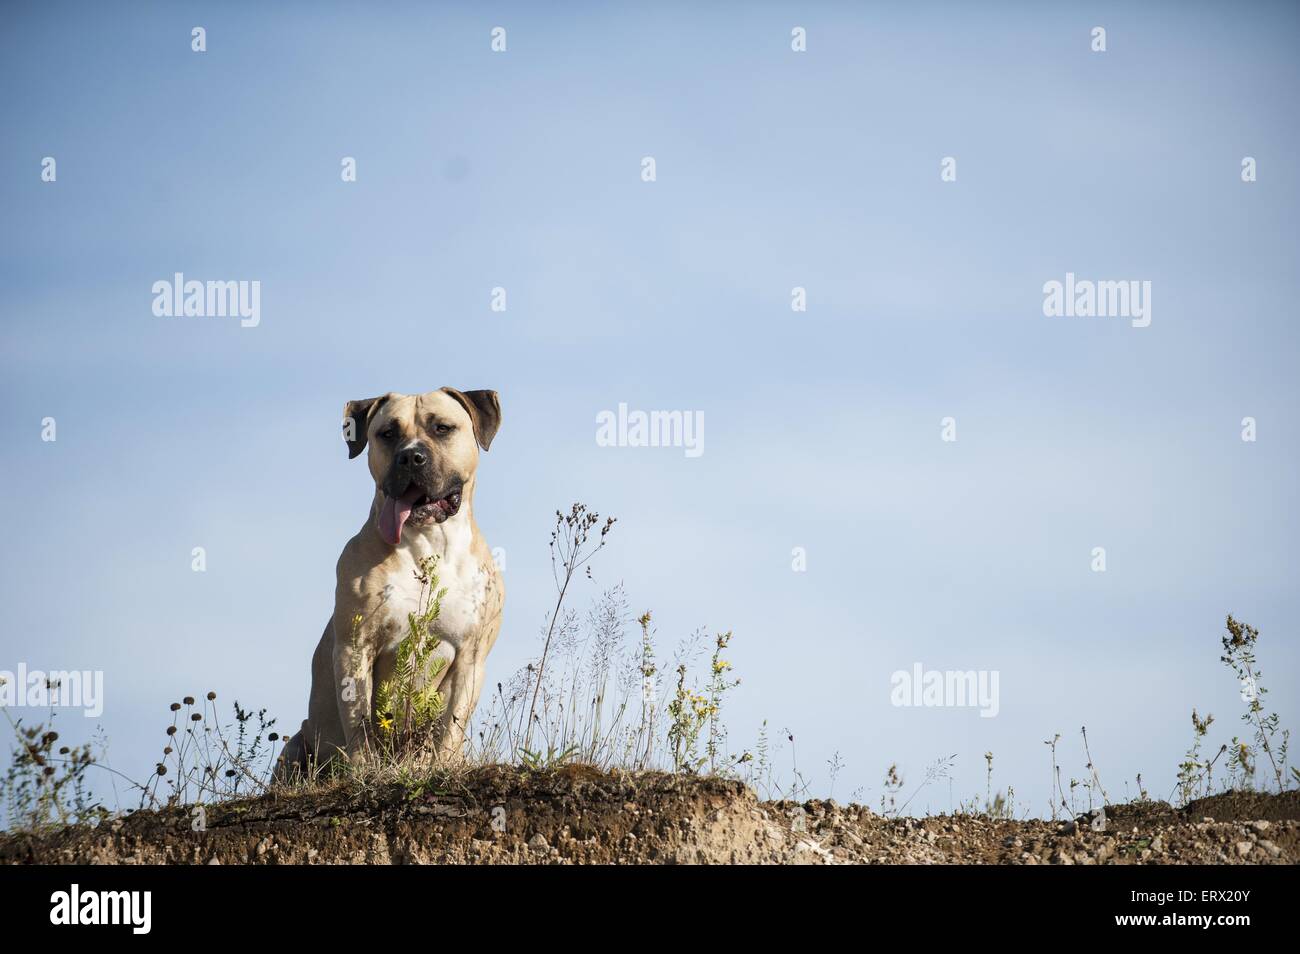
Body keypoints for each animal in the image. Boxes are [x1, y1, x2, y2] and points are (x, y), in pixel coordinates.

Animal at [279, 389, 501, 779]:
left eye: (442, 428)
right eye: (387, 433)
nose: (410, 456)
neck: (429, 542)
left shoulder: (470, 656)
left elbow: (451, 725)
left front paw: (441, 765)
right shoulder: (355, 647)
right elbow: (359, 722)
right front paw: (364, 769)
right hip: (294, 747)